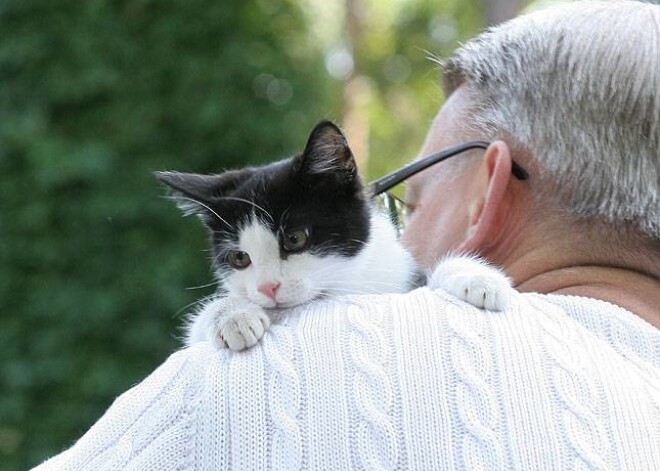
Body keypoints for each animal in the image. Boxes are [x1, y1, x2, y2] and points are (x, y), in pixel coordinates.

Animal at [157, 121, 512, 350]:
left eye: (295, 239)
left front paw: (479, 279)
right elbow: (196, 329)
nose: (267, 287)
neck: (347, 285)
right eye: (239, 257)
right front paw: (232, 315)